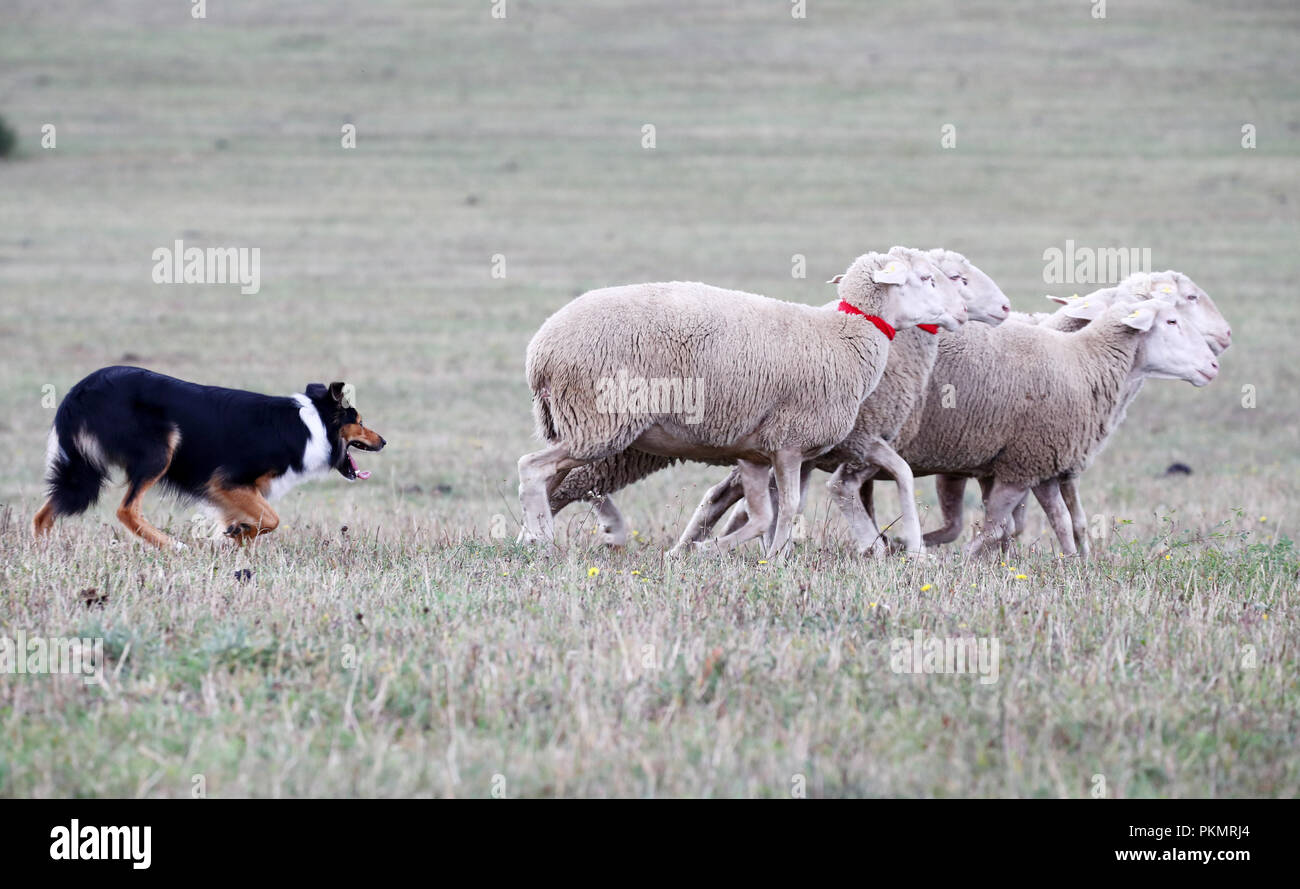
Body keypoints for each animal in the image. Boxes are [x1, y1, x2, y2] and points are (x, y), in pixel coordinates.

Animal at [31, 366, 384, 548]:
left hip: (79, 471)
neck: (313, 424)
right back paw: (172, 546)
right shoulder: (227, 481)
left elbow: (253, 525)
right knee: (126, 510)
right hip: (161, 448)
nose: (384, 441)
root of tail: (79, 391)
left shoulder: (237, 492)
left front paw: (236, 541)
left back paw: (44, 554)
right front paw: (238, 534)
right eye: (360, 421)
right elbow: (271, 519)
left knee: (42, 515)